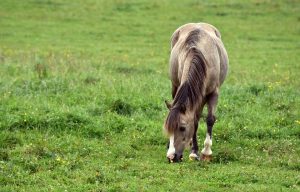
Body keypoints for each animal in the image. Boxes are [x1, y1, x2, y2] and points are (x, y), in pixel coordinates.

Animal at [163, 23, 229, 163]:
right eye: (168, 128)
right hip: (176, 86)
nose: (171, 157)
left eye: (182, 128)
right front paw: (194, 152)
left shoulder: (213, 93)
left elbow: (210, 119)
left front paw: (206, 152)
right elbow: (194, 121)